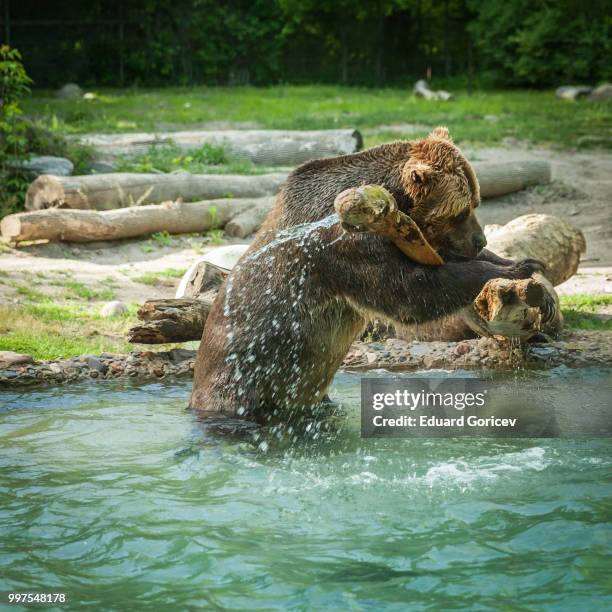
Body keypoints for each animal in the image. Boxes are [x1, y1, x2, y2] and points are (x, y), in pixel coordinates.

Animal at [191, 126, 540, 418]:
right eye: (461, 211)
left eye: (476, 202)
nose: (480, 239)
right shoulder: (348, 243)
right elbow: (409, 291)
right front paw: (514, 268)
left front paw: (523, 264)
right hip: (246, 378)